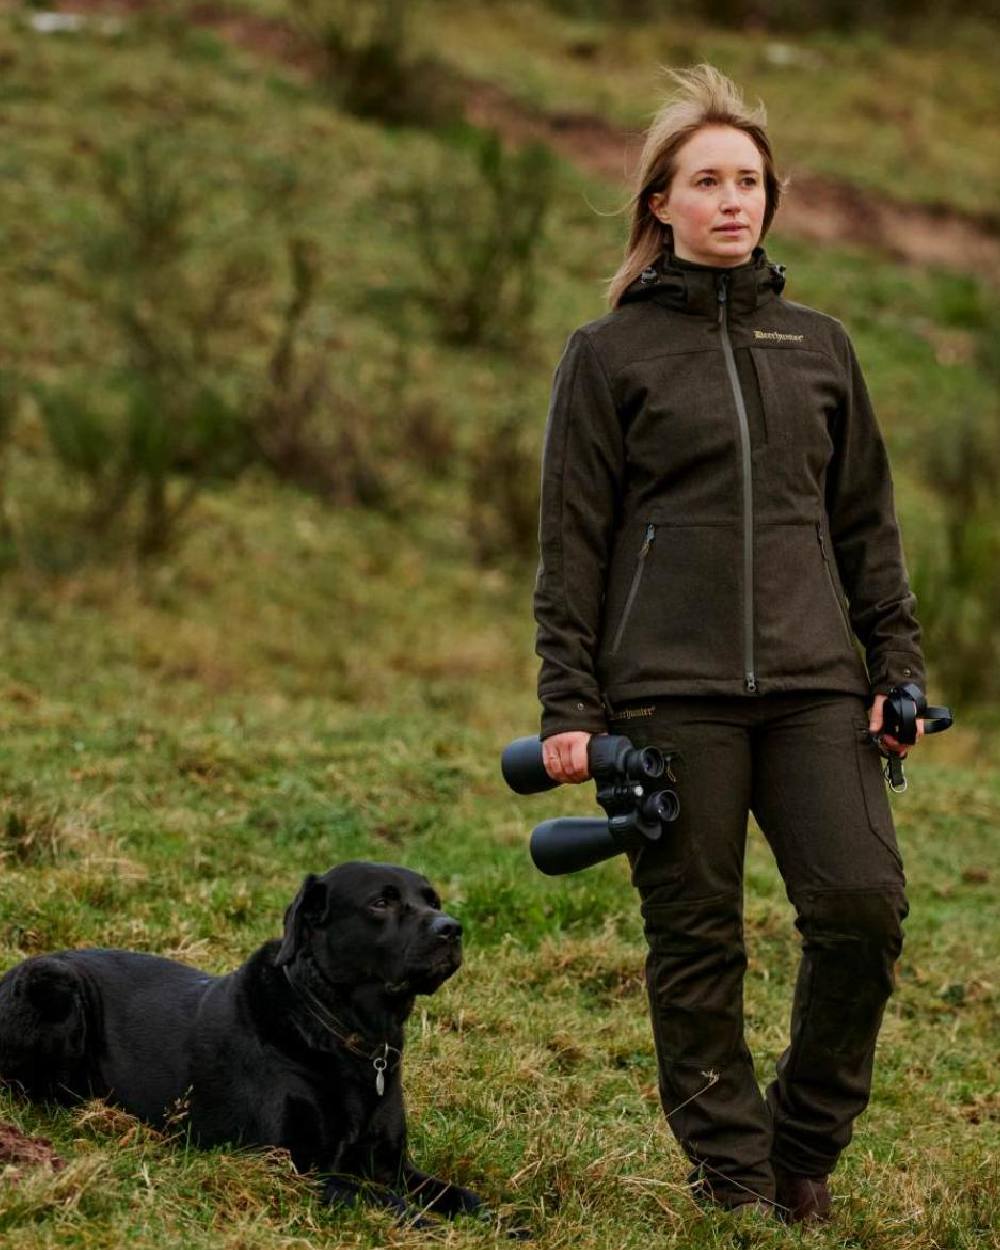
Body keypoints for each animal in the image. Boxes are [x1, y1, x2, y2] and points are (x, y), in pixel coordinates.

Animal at [0, 865, 487, 1225]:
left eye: (433, 900)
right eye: (381, 902)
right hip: (54, 985)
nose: (452, 929)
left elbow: (463, 1197)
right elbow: (391, 1204)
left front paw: (500, 1219)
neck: (342, 1033)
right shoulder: (293, 1165)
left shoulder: (390, 1165)